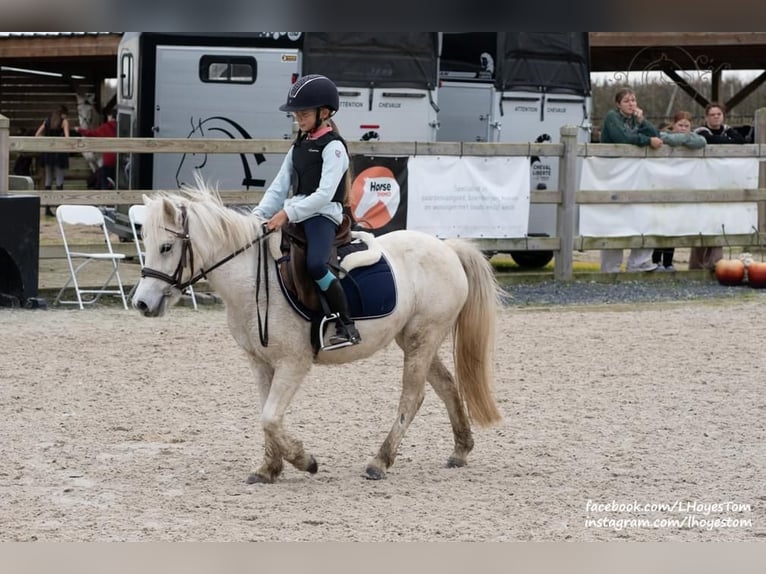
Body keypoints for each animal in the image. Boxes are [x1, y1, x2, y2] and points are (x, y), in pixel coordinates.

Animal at [132, 180, 504, 486]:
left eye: (166, 247)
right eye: (146, 243)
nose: (141, 303)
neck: (253, 281)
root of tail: (448, 249)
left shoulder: (293, 362)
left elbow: (270, 417)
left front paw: (304, 461)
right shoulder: (260, 362)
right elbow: (267, 415)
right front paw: (268, 468)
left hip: (421, 339)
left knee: (412, 397)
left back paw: (379, 462)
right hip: (416, 339)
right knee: (446, 385)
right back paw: (460, 450)